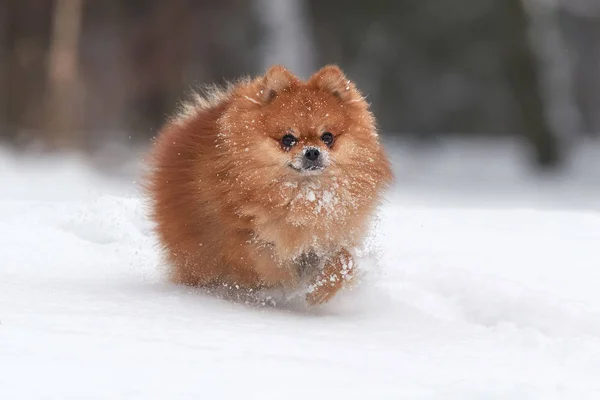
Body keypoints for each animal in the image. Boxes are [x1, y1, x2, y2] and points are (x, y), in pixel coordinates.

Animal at [145, 64, 394, 304]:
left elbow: (344, 259)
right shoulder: (240, 239)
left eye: (328, 138)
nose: (312, 152)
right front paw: (289, 286)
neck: (304, 196)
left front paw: (323, 287)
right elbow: (268, 264)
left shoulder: (327, 237)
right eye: (288, 139)